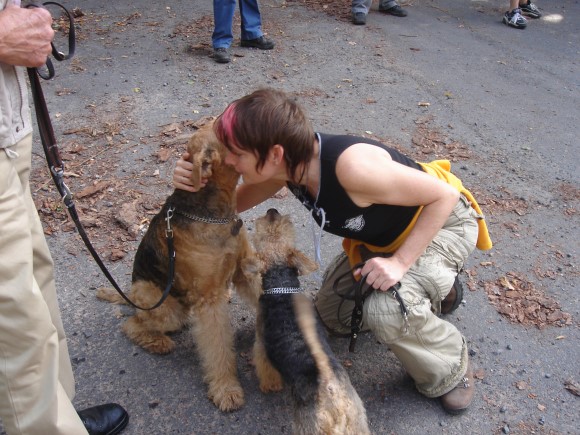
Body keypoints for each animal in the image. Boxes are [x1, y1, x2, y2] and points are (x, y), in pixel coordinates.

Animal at [96, 122, 260, 412]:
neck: (213, 213)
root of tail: (129, 294)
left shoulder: (244, 269)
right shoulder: (209, 298)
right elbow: (218, 347)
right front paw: (226, 389)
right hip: (163, 306)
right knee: (132, 324)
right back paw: (158, 342)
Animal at [251, 209, 370, 434]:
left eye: (263, 233)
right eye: (285, 226)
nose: (272, 211)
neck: (281, 282)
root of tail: (330, 388)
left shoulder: (262, 343)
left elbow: (265, 366)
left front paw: (269, 386)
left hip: (309, 426)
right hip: (356, 420)